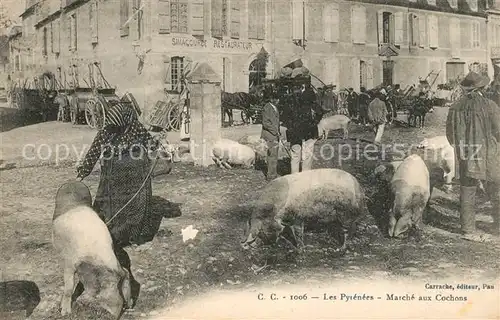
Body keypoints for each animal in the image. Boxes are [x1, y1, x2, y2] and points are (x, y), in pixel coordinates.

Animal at [52, 181, 133, 318]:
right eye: (103, 294)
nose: (111, 315)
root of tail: (73, 181)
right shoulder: (69, 263)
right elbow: (68, 288)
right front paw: (65, 313)